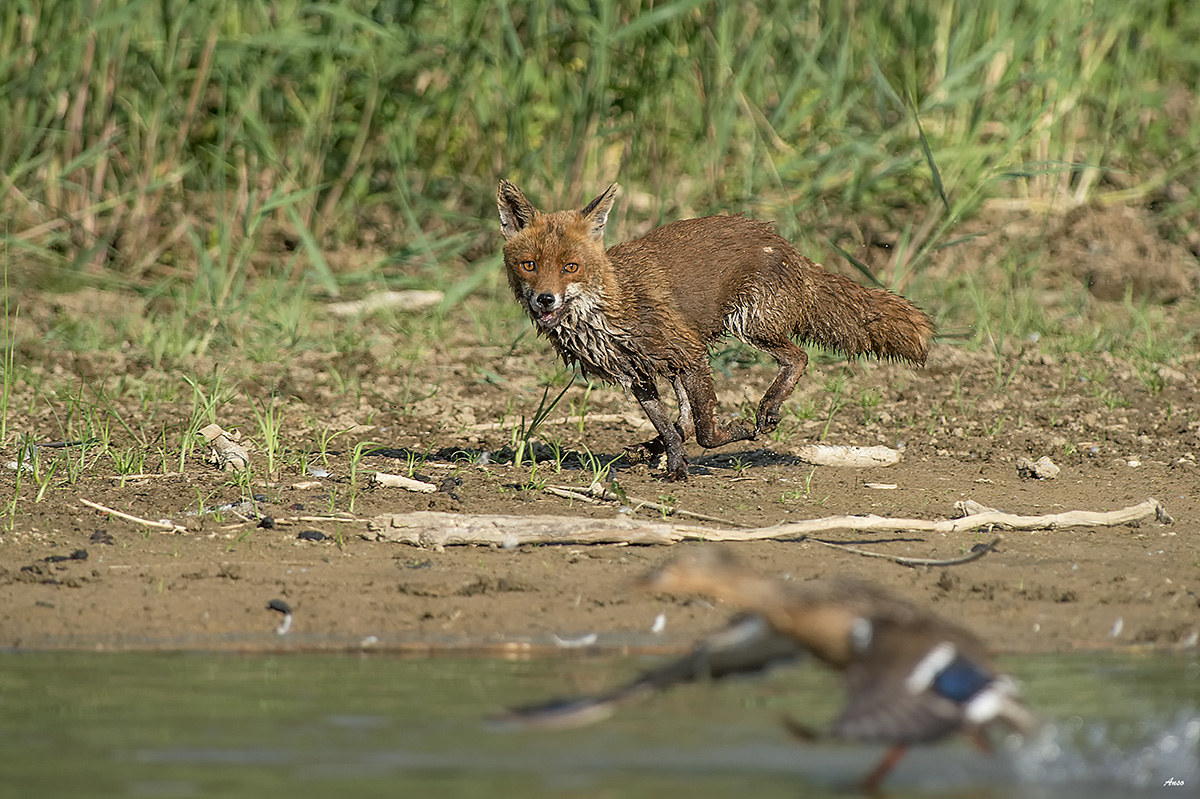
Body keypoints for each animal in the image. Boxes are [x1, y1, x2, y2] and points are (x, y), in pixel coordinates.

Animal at [497, 180, 934, 481]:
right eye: (529, 265)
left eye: (570, 267)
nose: (545, 300)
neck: (607, 313)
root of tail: (785, 244)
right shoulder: (638, 373)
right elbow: (672, 427)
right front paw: (675, 465)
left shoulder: (688, 355)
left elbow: (707, 432)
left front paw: (734, 432)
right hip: (697, 355)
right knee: (684, 419)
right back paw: (652, 448)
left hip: (749, 324)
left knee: (798, 357)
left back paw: (767, 409)